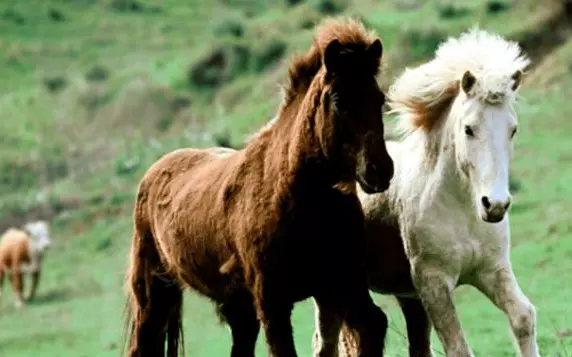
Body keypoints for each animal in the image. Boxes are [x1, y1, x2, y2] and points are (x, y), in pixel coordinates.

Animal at [124, 17, 394, 356]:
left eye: (379, 98)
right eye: (337, 100)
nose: (380, 170)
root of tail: (154, 172)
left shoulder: (344, 284)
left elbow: (373, 325)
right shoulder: (273, 303)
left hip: (239, 308)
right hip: (155, 296)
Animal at [310, 29, 540, 356]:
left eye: (513, 129)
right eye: (469, 129)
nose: (494, 205)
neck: (462, 211)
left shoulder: (492, 270)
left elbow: (523, 316)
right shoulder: (434, 282)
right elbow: (459, 348)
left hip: (407, 297)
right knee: (323, 341)